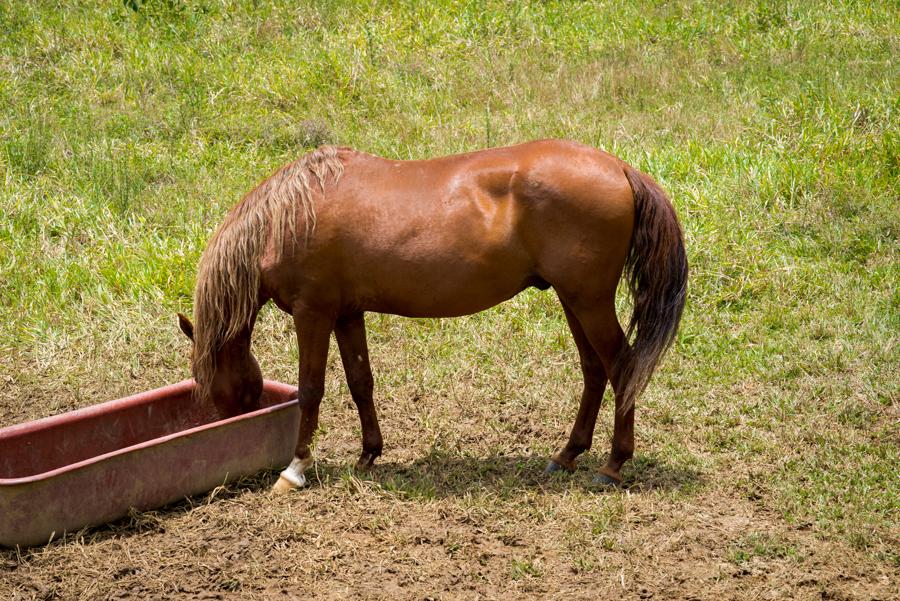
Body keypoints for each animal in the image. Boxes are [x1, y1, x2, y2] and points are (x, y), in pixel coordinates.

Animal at [176, 139, 684, 488]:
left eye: (205, 381)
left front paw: (296, 469)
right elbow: (360, 382)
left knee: (621, 367)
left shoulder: (312, 312)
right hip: (573, 300)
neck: (291, 213)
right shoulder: (346, 313)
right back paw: (567, 455)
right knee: (595, 370)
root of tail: (619, 168)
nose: (228, 430)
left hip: (588, 301)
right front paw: (368, 454)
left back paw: (613, 464)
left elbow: (311, 389)